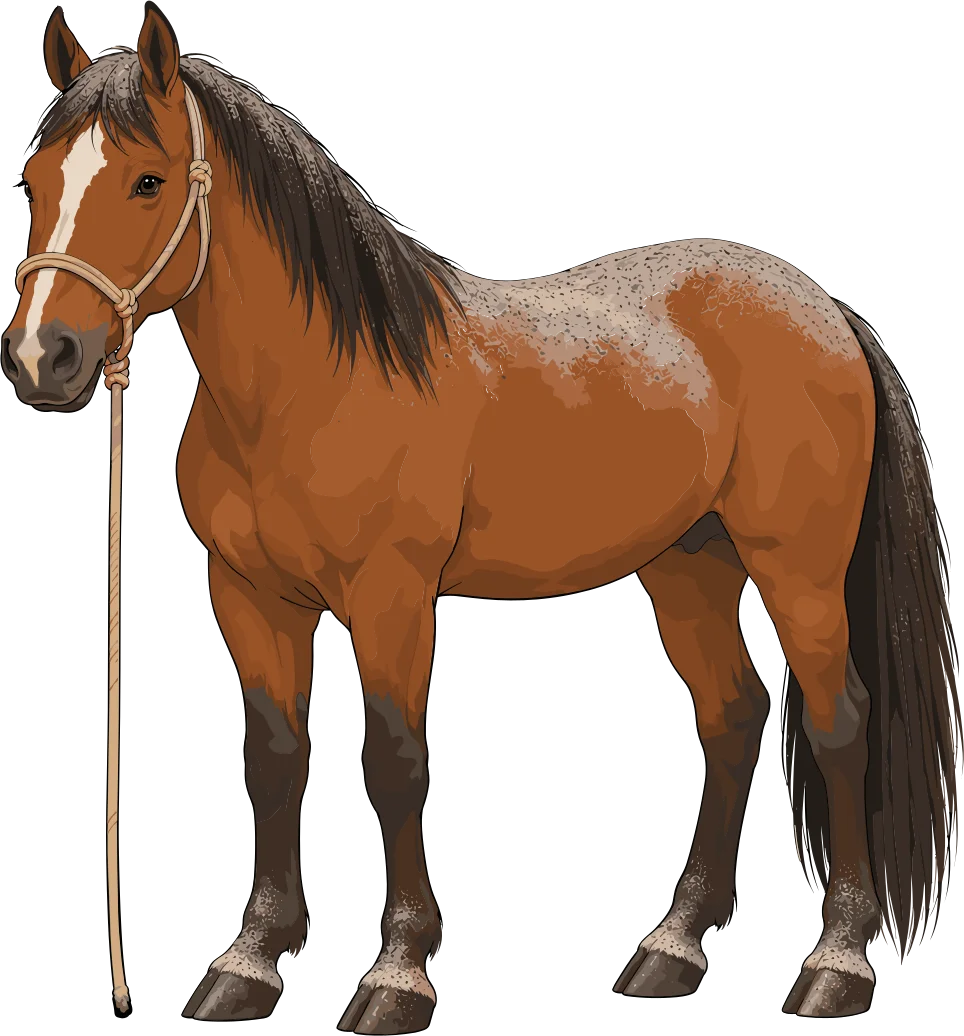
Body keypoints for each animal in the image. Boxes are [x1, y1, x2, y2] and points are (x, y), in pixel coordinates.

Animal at [5, 8, 958, 1027]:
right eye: (35, 178)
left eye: (146, 181)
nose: (42, 357)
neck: (309, 382)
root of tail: (819, 306)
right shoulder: (252, 598)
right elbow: (275, 759)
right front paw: (250, 963)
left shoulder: (392, 598)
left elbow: (393, 761)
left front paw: (396, 975)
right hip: (687, 565)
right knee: (733, 716)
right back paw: (673, 947)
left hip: (798, 570)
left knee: (838, 721)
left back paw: (836, 963)